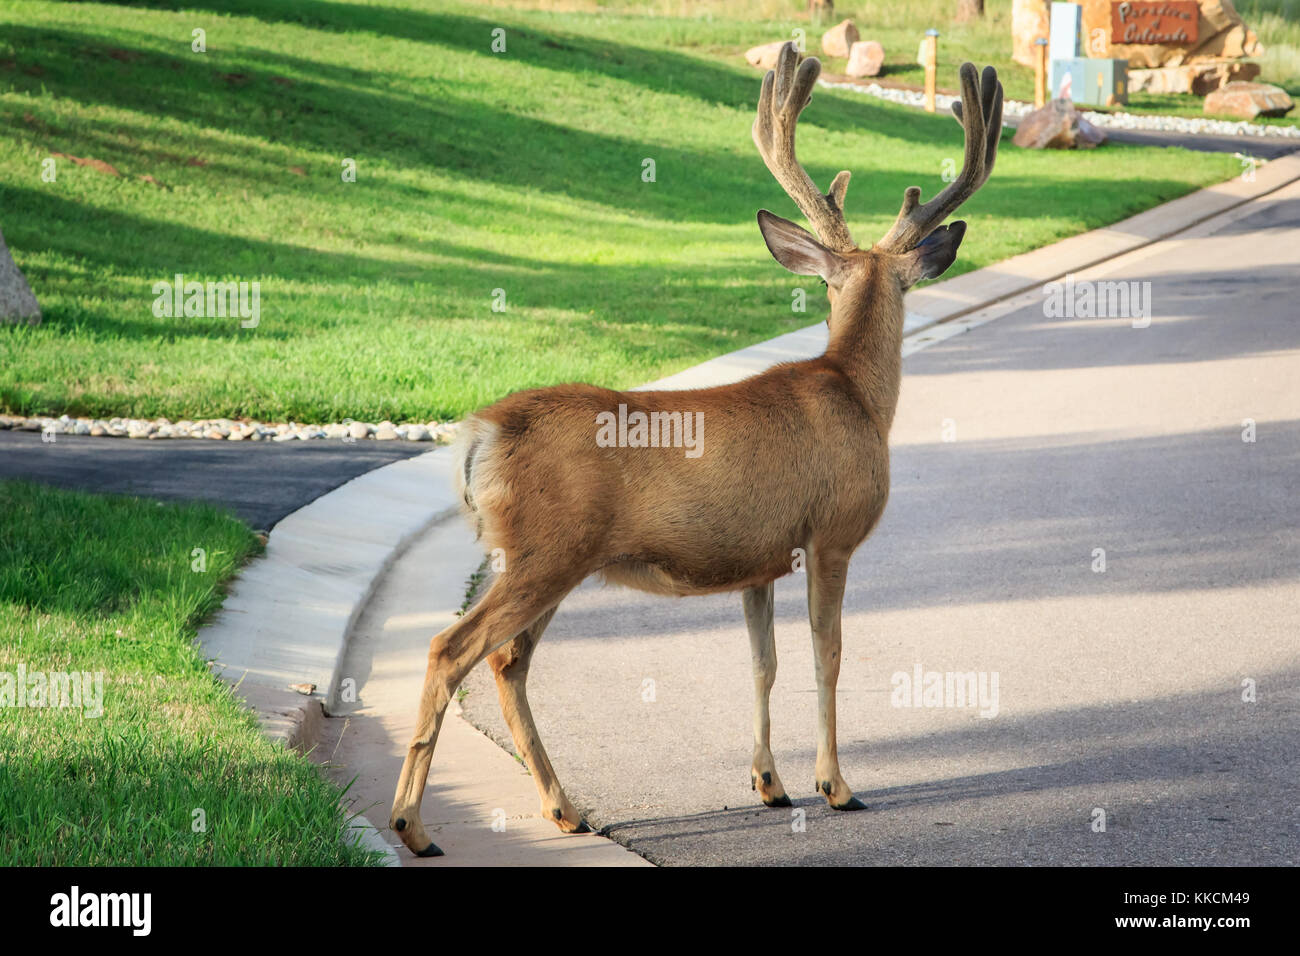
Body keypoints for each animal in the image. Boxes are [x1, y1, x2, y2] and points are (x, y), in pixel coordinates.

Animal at [389, 42, 1002, 858]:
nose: (810, 786)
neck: (859, 395)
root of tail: (480, 434)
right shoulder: (831, 534)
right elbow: (827, 655)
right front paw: (836, 786)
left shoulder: (760, 559)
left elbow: (762, 663)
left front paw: (769, 783)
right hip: (547, 549)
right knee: (450, 649)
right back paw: (414, 825)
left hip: (544, 556)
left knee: (506, 661)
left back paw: (564, 809)